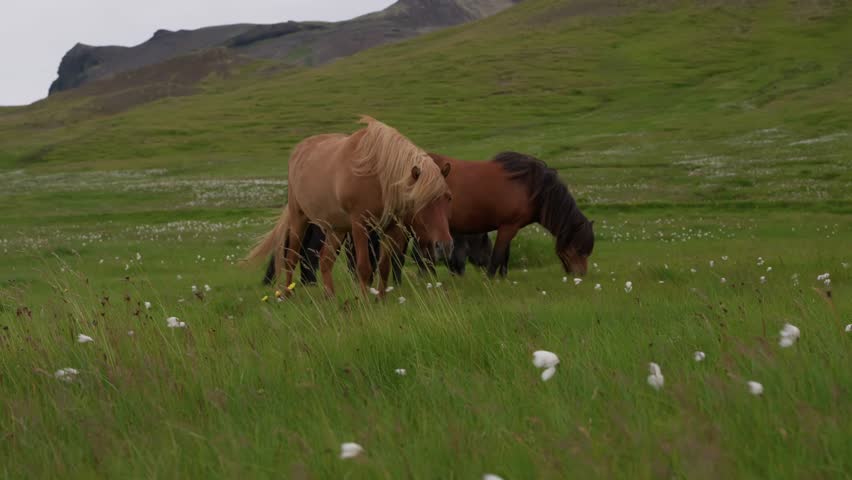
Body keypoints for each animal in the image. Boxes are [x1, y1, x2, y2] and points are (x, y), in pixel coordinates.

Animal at [247, 116, 453, 297]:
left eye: (448, 199)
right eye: (421, 201)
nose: (445, 246)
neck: (377, 175)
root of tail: (298, 151)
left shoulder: (391, 226)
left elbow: (384, 266)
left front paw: (380, 299)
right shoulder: (359, 224)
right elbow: (363, 267)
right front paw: (365, 302)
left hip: (337, 228)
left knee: (325, 261)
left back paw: (329, 297)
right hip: (299, 219)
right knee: (290, 260)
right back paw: (288, 295)